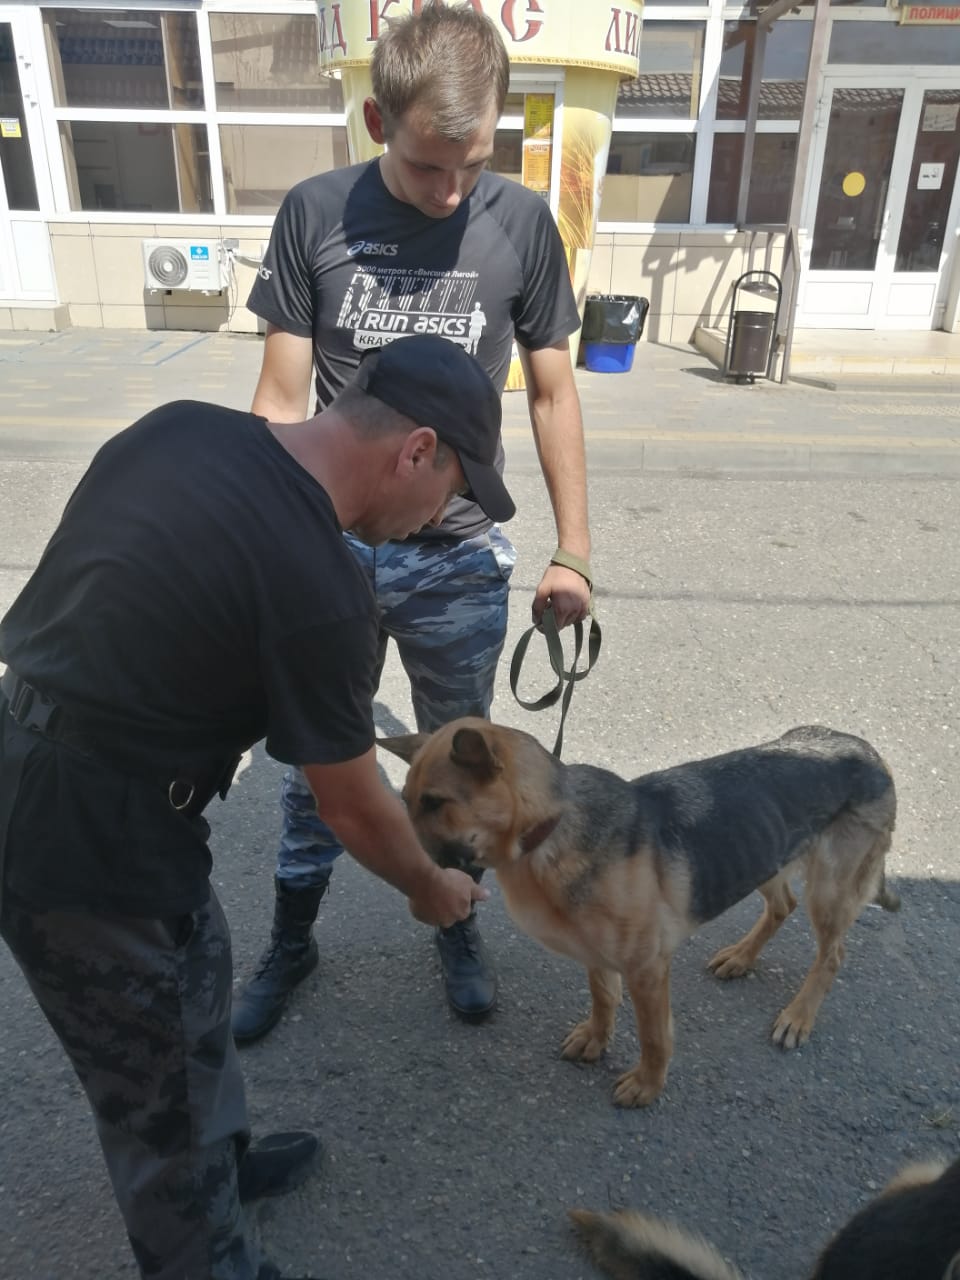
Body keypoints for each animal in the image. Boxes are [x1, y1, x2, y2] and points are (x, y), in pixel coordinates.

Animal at [378, 727, 901, 1105]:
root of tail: (868, 750)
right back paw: (741, 958)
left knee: (832, 955)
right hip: (763, 855)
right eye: (404, 801)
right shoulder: (597, 954)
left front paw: (648, 1085)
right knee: (782, 905)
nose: (402, 870)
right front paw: (596, 1037)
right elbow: (602, 998)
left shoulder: (647, 970)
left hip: (829, 891)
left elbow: (653, 1036)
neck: (549, 830)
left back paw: (798, 1015)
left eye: (435, 803)